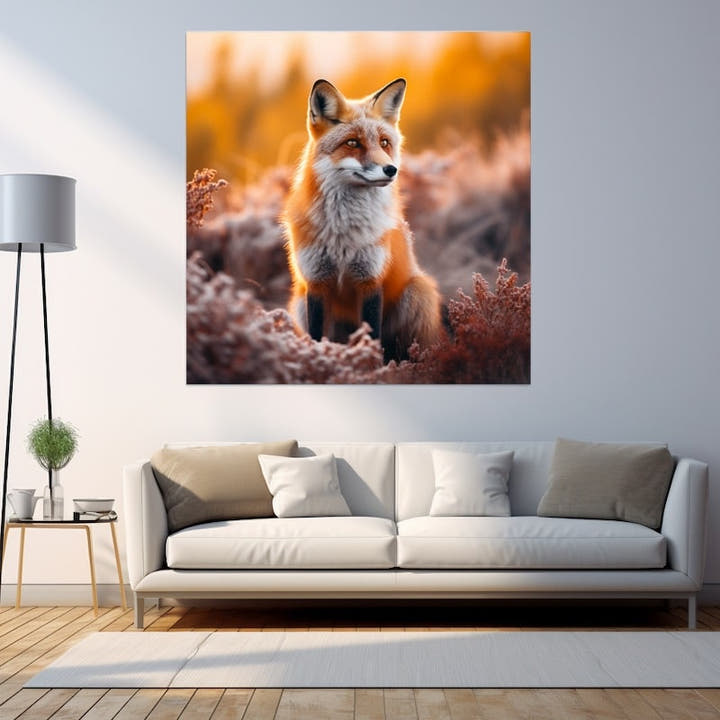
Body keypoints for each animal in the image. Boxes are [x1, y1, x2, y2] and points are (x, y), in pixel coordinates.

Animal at [282, 77, 443, 362]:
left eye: (384, 142)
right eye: (353, 143)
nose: (391, 170)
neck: (343, 234)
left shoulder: (370, 279)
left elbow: (372, 335)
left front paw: (371, 364)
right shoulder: (316, 281)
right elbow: (316, 336)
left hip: (418, 291)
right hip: (299, 302)